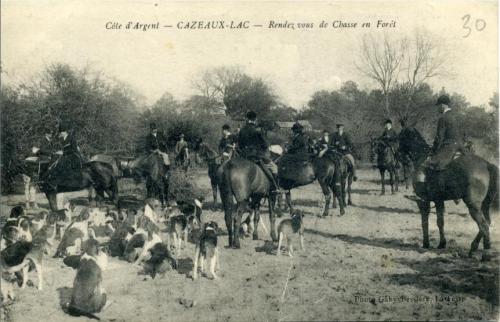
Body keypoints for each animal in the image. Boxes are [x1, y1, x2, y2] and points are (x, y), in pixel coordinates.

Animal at [404, 130, 498, 258]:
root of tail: (487, 164)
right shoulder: (439, 200)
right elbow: (440, 222)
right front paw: (441, 244)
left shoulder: (424, 202)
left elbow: (425, 222)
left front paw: (426, 243)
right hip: (485, 205)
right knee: (487, 222)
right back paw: (477, 248)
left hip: (473, 206)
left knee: (483, 225)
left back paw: (484, 253)